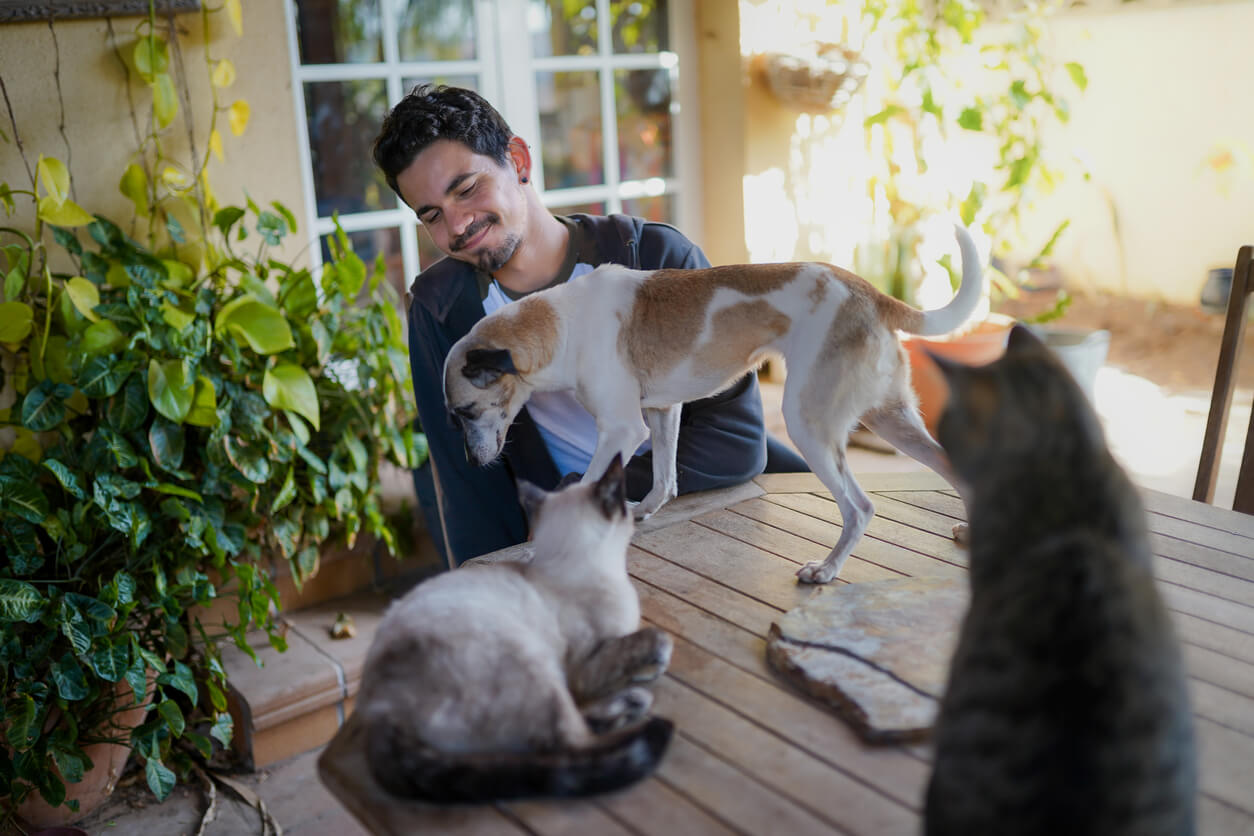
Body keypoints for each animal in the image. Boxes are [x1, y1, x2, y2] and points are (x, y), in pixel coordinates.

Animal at [358, 453, 672, 807]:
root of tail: (379, 711)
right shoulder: (587, 663)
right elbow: (654, 638)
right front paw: (654, 662)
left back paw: (633, 701)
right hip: (532, 664)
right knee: (569, 745)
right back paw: (636, 712)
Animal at [446, 225, 983, 586]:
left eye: (465, 413)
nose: (470, 462)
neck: (562, 322)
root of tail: (869, 291)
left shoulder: (622, 430)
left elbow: (584, 486)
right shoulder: (663, 413)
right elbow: (665, 478)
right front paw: (643, 511)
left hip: (809, 425)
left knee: (860, 507)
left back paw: (828, 569)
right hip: (891, 418)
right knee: (951, 467)